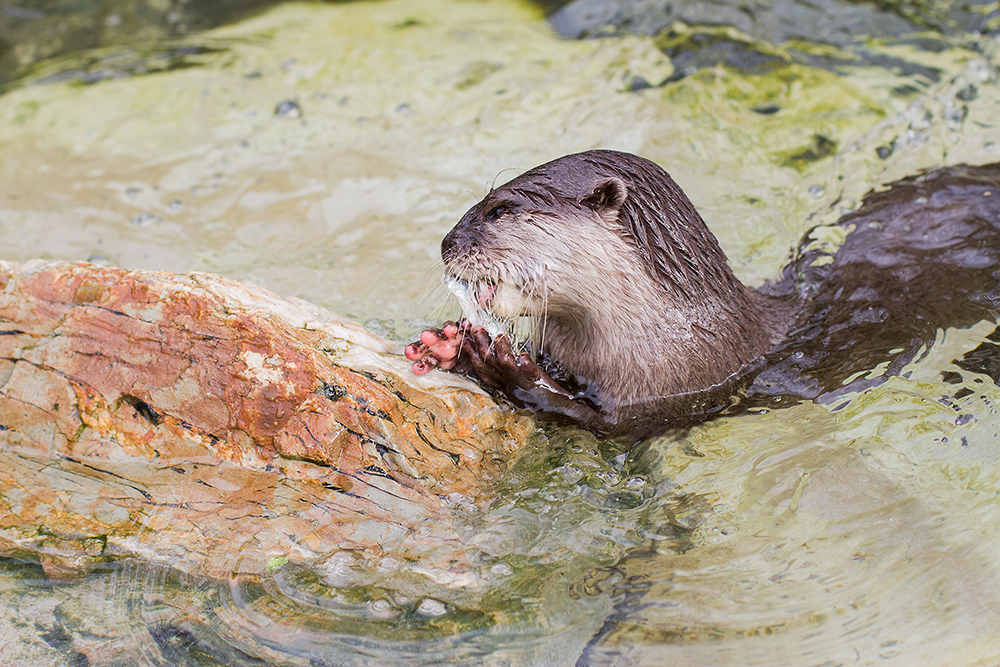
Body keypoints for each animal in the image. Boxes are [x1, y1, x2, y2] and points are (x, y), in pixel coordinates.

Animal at [405, 150, 1000, 439]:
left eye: (499, 209)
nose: (446, 242)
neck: (667, 329)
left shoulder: (673, 386)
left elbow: (605, 423)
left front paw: (503, 364)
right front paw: (453, 348)